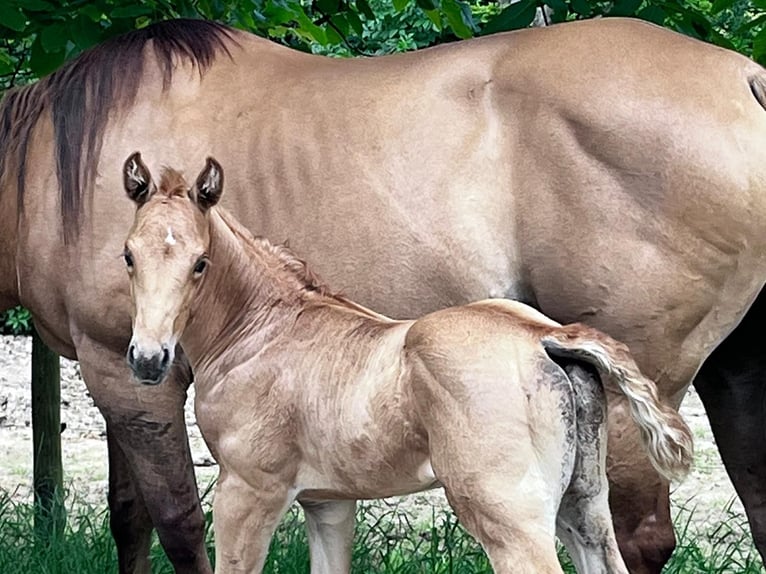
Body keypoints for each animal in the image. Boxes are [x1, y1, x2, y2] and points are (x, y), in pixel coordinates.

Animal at [121, 154, 696, 574]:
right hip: (585, 505)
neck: (261, 331)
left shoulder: (247, 491)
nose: (149, 358)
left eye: (200, 262)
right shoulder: (328, 502)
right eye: (128, 254)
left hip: (509, 518)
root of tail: (545, 336)